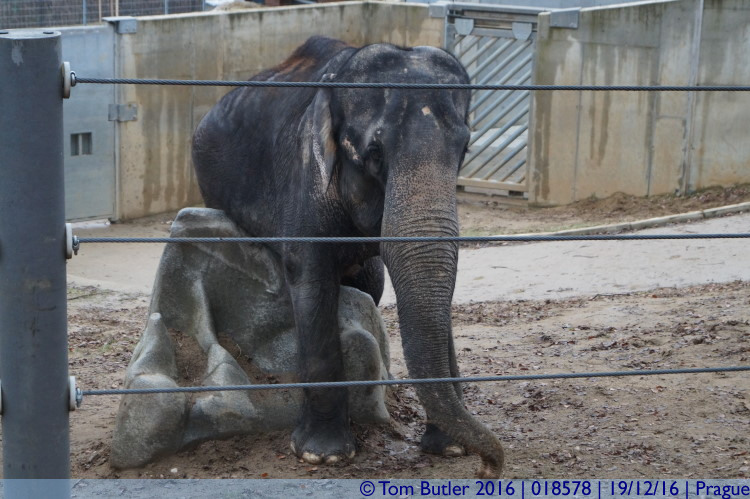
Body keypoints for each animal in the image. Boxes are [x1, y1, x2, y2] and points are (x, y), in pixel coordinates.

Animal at [191, 36, 504, 478]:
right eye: (373, 152)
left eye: (465, 147)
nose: (487, 469)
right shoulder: (306, 177)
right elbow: (310, 278)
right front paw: (323, 455)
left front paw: (450, 448)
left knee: (371, 283)